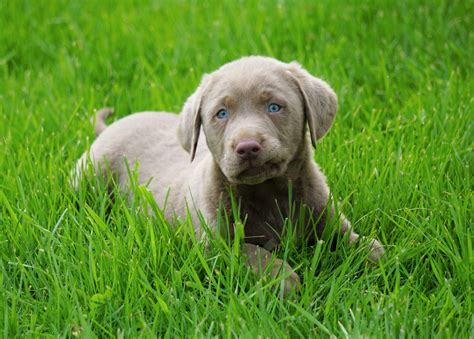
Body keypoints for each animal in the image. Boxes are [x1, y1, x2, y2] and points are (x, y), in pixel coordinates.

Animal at [75, 57, 386, 296]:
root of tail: (112, 126)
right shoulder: (216, 244)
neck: (268, 192)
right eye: (221, 114)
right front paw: (283, 280)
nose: (247, 147)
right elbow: (253, 254)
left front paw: (376, 260)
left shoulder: (328, 217)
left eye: (274, 107)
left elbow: (367, 246)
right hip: (90, 175)